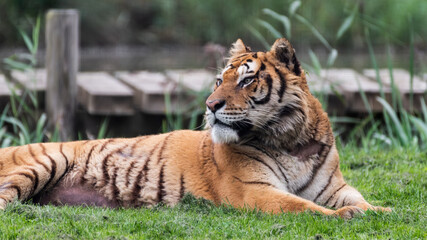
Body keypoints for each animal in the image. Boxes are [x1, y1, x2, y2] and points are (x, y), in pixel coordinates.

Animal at [0, 38, 392, 219]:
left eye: (247, 80)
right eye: (220, 80)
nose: (210, 105)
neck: (290, 141)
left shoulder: (334, 186)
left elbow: (358, 199)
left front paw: (381, 211)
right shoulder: (256, 191)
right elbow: (303, 207)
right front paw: (346, 216)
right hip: (45, 162)